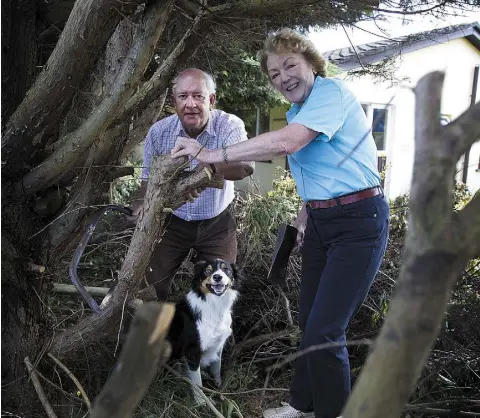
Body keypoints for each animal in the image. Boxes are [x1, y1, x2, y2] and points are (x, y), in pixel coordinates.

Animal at [168, 258, 242, 402]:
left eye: (226, 269)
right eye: (208, 271)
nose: (217, 277)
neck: (214, 305)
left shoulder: (219, 343)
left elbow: (217, 366)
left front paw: (218, 387)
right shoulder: (193, 350)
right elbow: (197, 381)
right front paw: (201, 402)